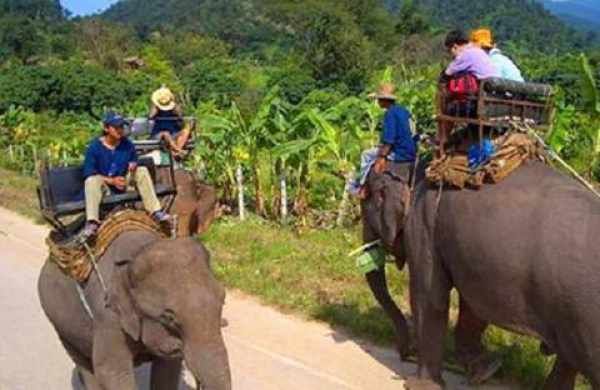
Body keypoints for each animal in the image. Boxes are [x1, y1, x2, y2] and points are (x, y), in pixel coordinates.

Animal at [37, 233, 230, 388]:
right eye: (169, 317)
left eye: (223, 300)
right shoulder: (108, 317)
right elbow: (111, 371)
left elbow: (168, 370)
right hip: (59, 325)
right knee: (83, 363)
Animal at [360, 160, 502, 382]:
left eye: (365, 216)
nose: (406, 354)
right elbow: (473, 305)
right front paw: (487, 371)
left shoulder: (423, 229)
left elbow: (425, 295)